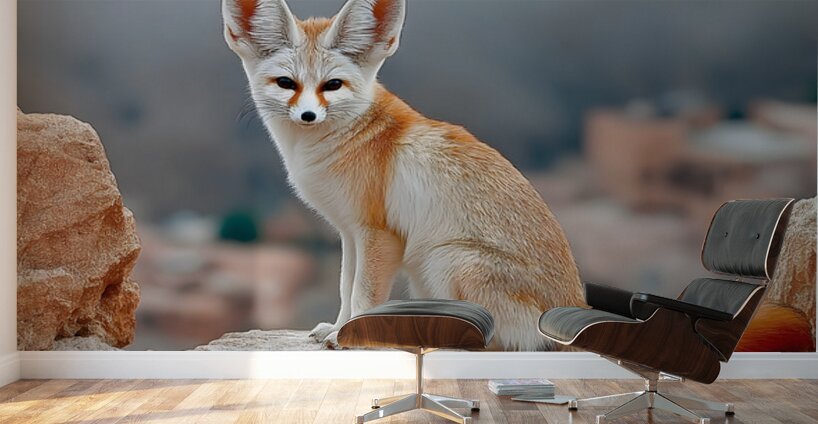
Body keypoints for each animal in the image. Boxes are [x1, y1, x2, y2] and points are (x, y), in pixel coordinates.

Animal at [222, 0, 584, 351]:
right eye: (287, 83)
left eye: (332, 85)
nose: (308, 115)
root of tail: (571, 315)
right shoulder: (350, 232)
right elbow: (345, 288)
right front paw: (337, 328)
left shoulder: (379, 235)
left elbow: (363, 294)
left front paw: (349, 338)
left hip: (446, 259)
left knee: (491, 343)